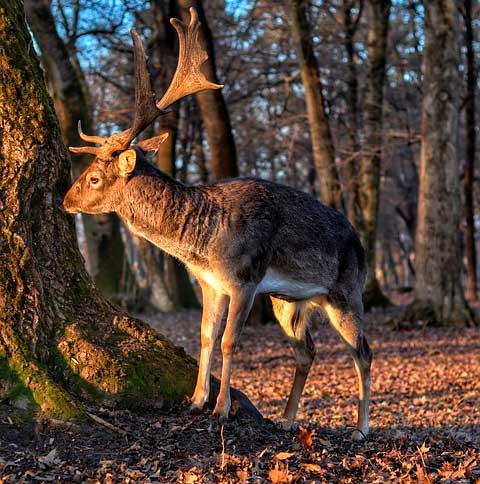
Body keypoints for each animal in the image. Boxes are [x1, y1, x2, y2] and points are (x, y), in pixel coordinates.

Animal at [62, 7, 372, 440]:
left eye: (92, 177)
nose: (65, 199)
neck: (203, 242)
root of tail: (360, 243)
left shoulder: (245, 278)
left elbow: (228, 341)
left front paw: (222, 409)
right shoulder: (209, 284)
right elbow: (206, 336)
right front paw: (196, 400)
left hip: (346, 290)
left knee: (363, 351)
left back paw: (361, 428)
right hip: (288, 300)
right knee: (307, 350)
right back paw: (288, 419)